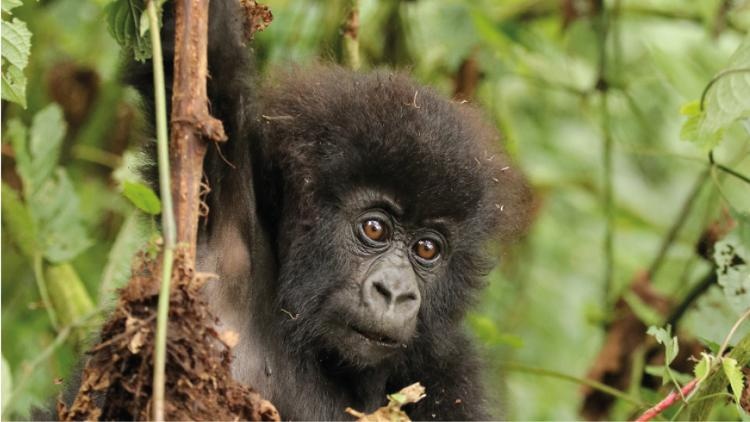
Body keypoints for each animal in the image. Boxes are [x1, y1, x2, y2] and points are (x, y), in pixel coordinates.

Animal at [137, 1, 536, 420]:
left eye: (427, 249)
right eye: (375, 229)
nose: (395, 293)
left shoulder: (452, 371)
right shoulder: (228, 233)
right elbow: (214, 56)